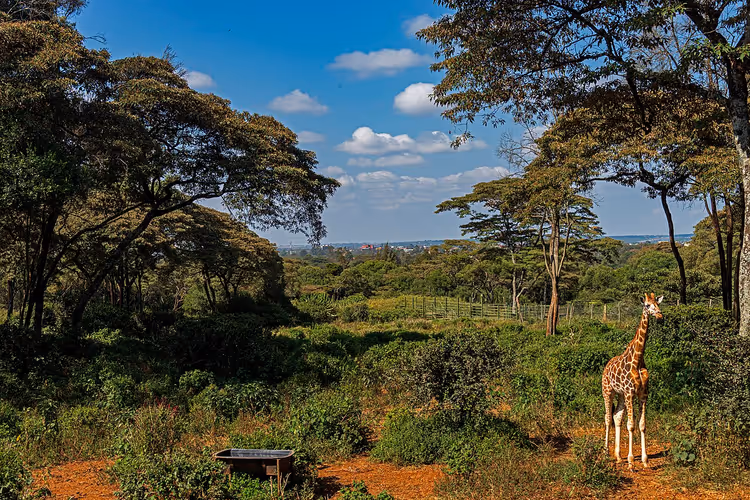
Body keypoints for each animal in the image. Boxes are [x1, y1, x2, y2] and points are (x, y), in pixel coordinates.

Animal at [602, 292, 663, 470]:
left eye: (658, 304)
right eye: (647, 305)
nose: (660, 317)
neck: (638, 360)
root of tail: (606, 366)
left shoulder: (643, 394)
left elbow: (642, 425)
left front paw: (645, 460)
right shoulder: (630, 393)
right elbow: (631, 425)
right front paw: (631, 462)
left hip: (620, 395)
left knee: (616, 416)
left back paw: (617, 456)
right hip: (607, 391)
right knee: (607, 418)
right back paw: (606, 452)